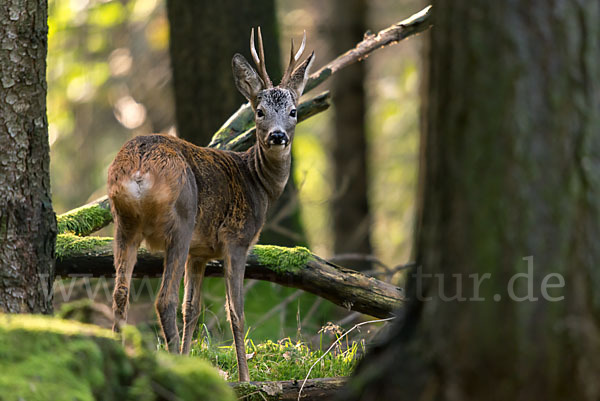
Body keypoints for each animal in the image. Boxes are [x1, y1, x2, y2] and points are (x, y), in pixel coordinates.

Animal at [108, 28, 314, 382]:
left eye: (293, 111)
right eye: (259, 112)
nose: (277, 136)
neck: (256, 181)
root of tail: (139, 166)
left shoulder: (200, 252)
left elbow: (192, 309)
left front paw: (192, 359)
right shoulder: (236, 240)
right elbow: (236, 312)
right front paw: (245, 379)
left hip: (124, 223)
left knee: (121, 294)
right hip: (181, 219)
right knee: (164, 300)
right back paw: (171, 368)